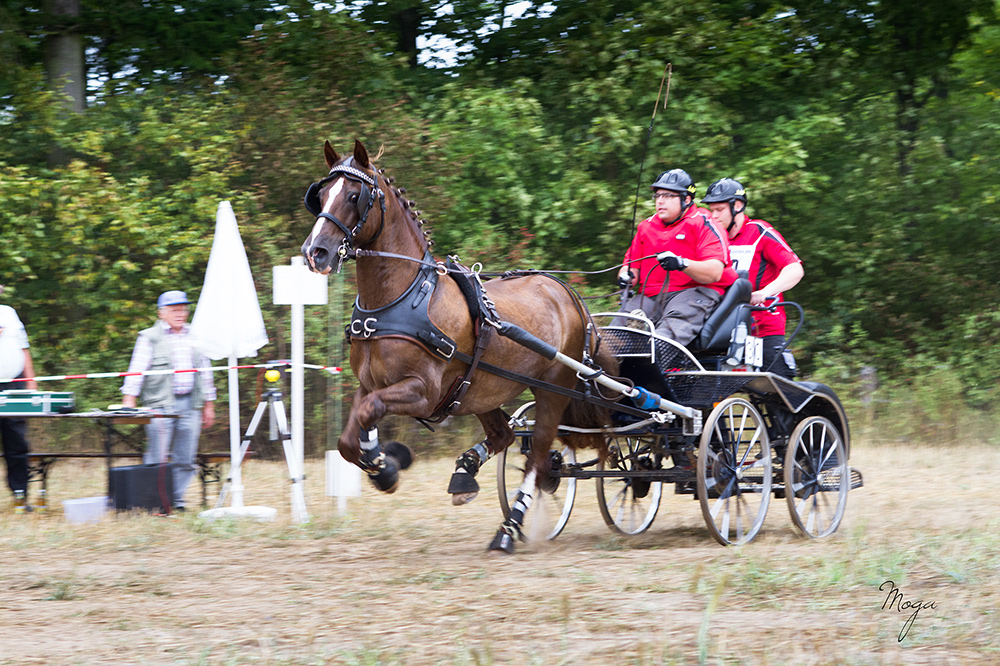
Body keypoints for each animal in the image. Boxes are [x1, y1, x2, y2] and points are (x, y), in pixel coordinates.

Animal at [298, 139, 608, 548]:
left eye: (353, 195)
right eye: (320, 196)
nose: (315, 252)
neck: (400, 299)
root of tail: (568, 293)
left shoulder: (422, 391)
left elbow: (370, 412)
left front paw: (387, 465)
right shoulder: (368, 384)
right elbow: (349, 439)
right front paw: (383, 466)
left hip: (552, 390)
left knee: (539, 456)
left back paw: (509, 528)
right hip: (480, 390)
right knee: (504, 434)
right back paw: (465, 473)